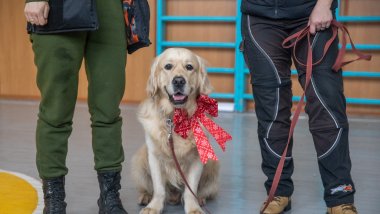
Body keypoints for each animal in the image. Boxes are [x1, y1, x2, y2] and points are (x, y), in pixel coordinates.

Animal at [131, 48, 218, 214]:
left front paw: (193, 208)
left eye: (189, 67)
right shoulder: (154, 157)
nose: (178, 81)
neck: (175, 118)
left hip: (211, 163)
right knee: (148, 187)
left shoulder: (197, 158)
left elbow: (191, 189)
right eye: (168, 66)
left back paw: (200, 199)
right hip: (141, 158)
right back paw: (146, 196)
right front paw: (153, 207)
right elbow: (158, 188)